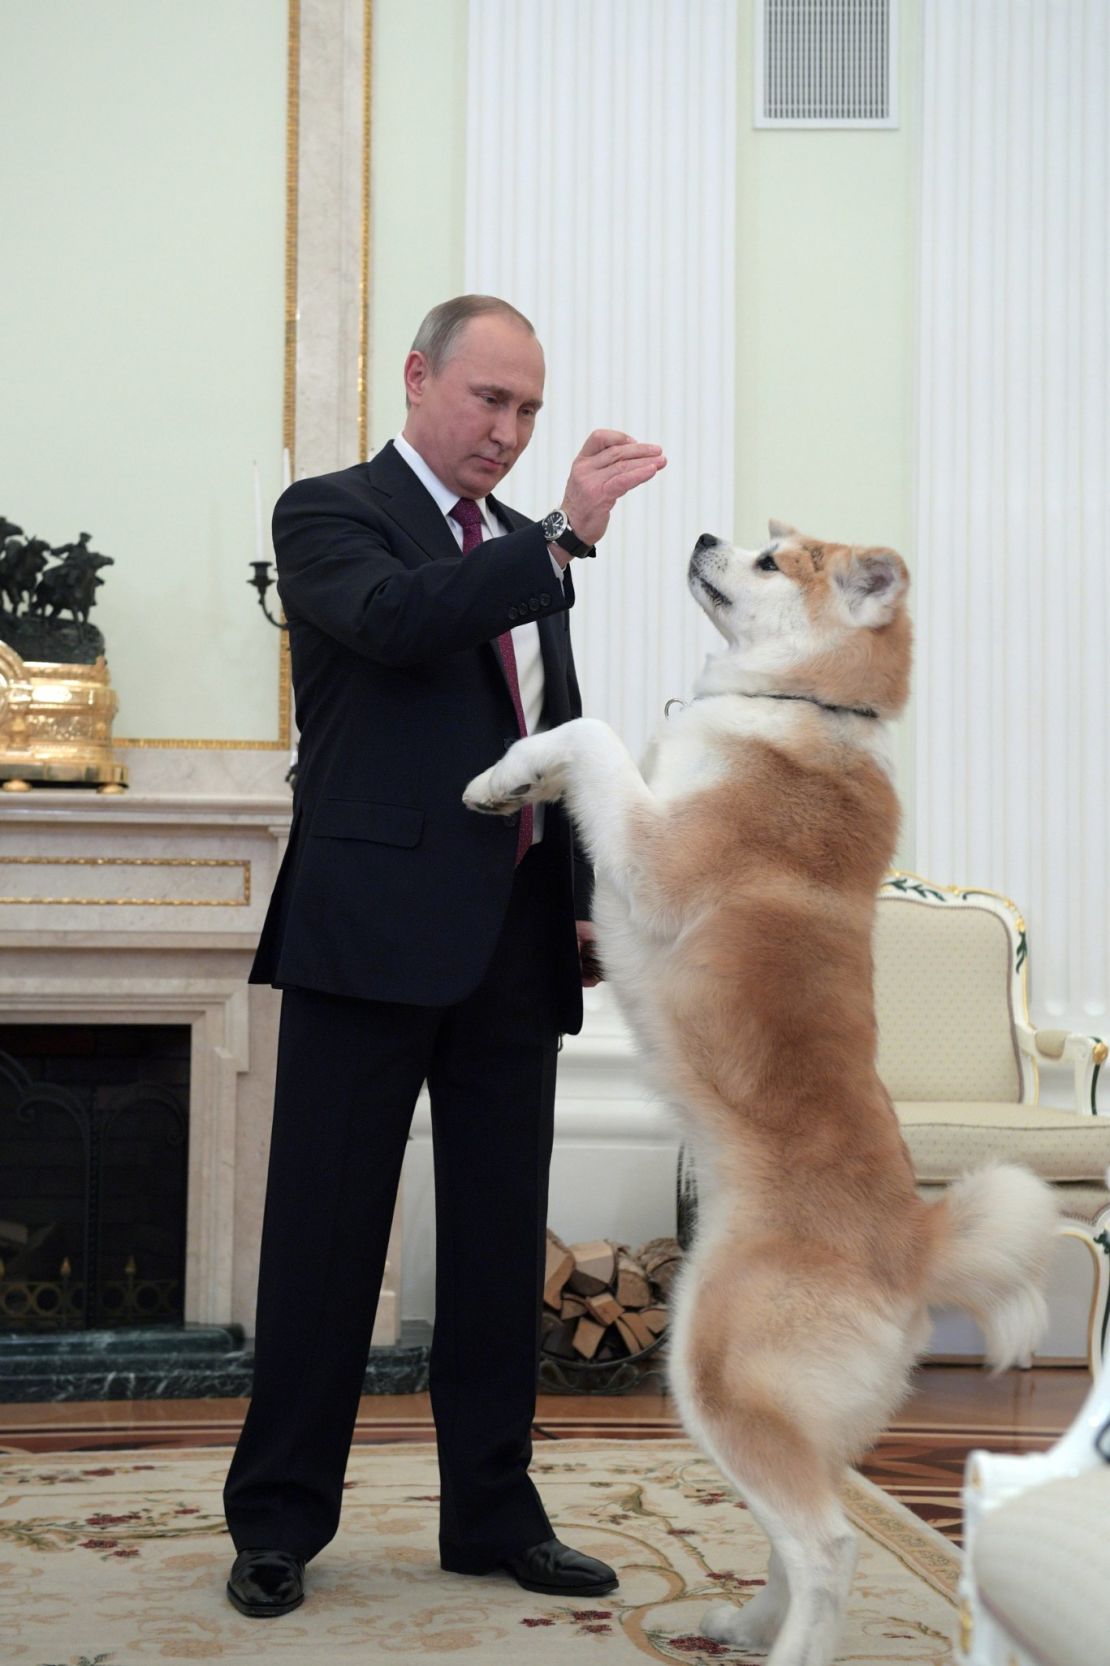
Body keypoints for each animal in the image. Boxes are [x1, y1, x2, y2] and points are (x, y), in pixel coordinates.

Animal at [460, 523, 1053, 1666]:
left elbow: (590, 732)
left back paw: (788, 1641)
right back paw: (745, 1621)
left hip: (715, 1369)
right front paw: (513, 783)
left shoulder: (652, 852)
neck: (800, 709)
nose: (701, 533)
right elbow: (577, 743)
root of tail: (914, 1244)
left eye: (777, 561)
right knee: (799, 1530)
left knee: (829, 1544)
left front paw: (507, 769)